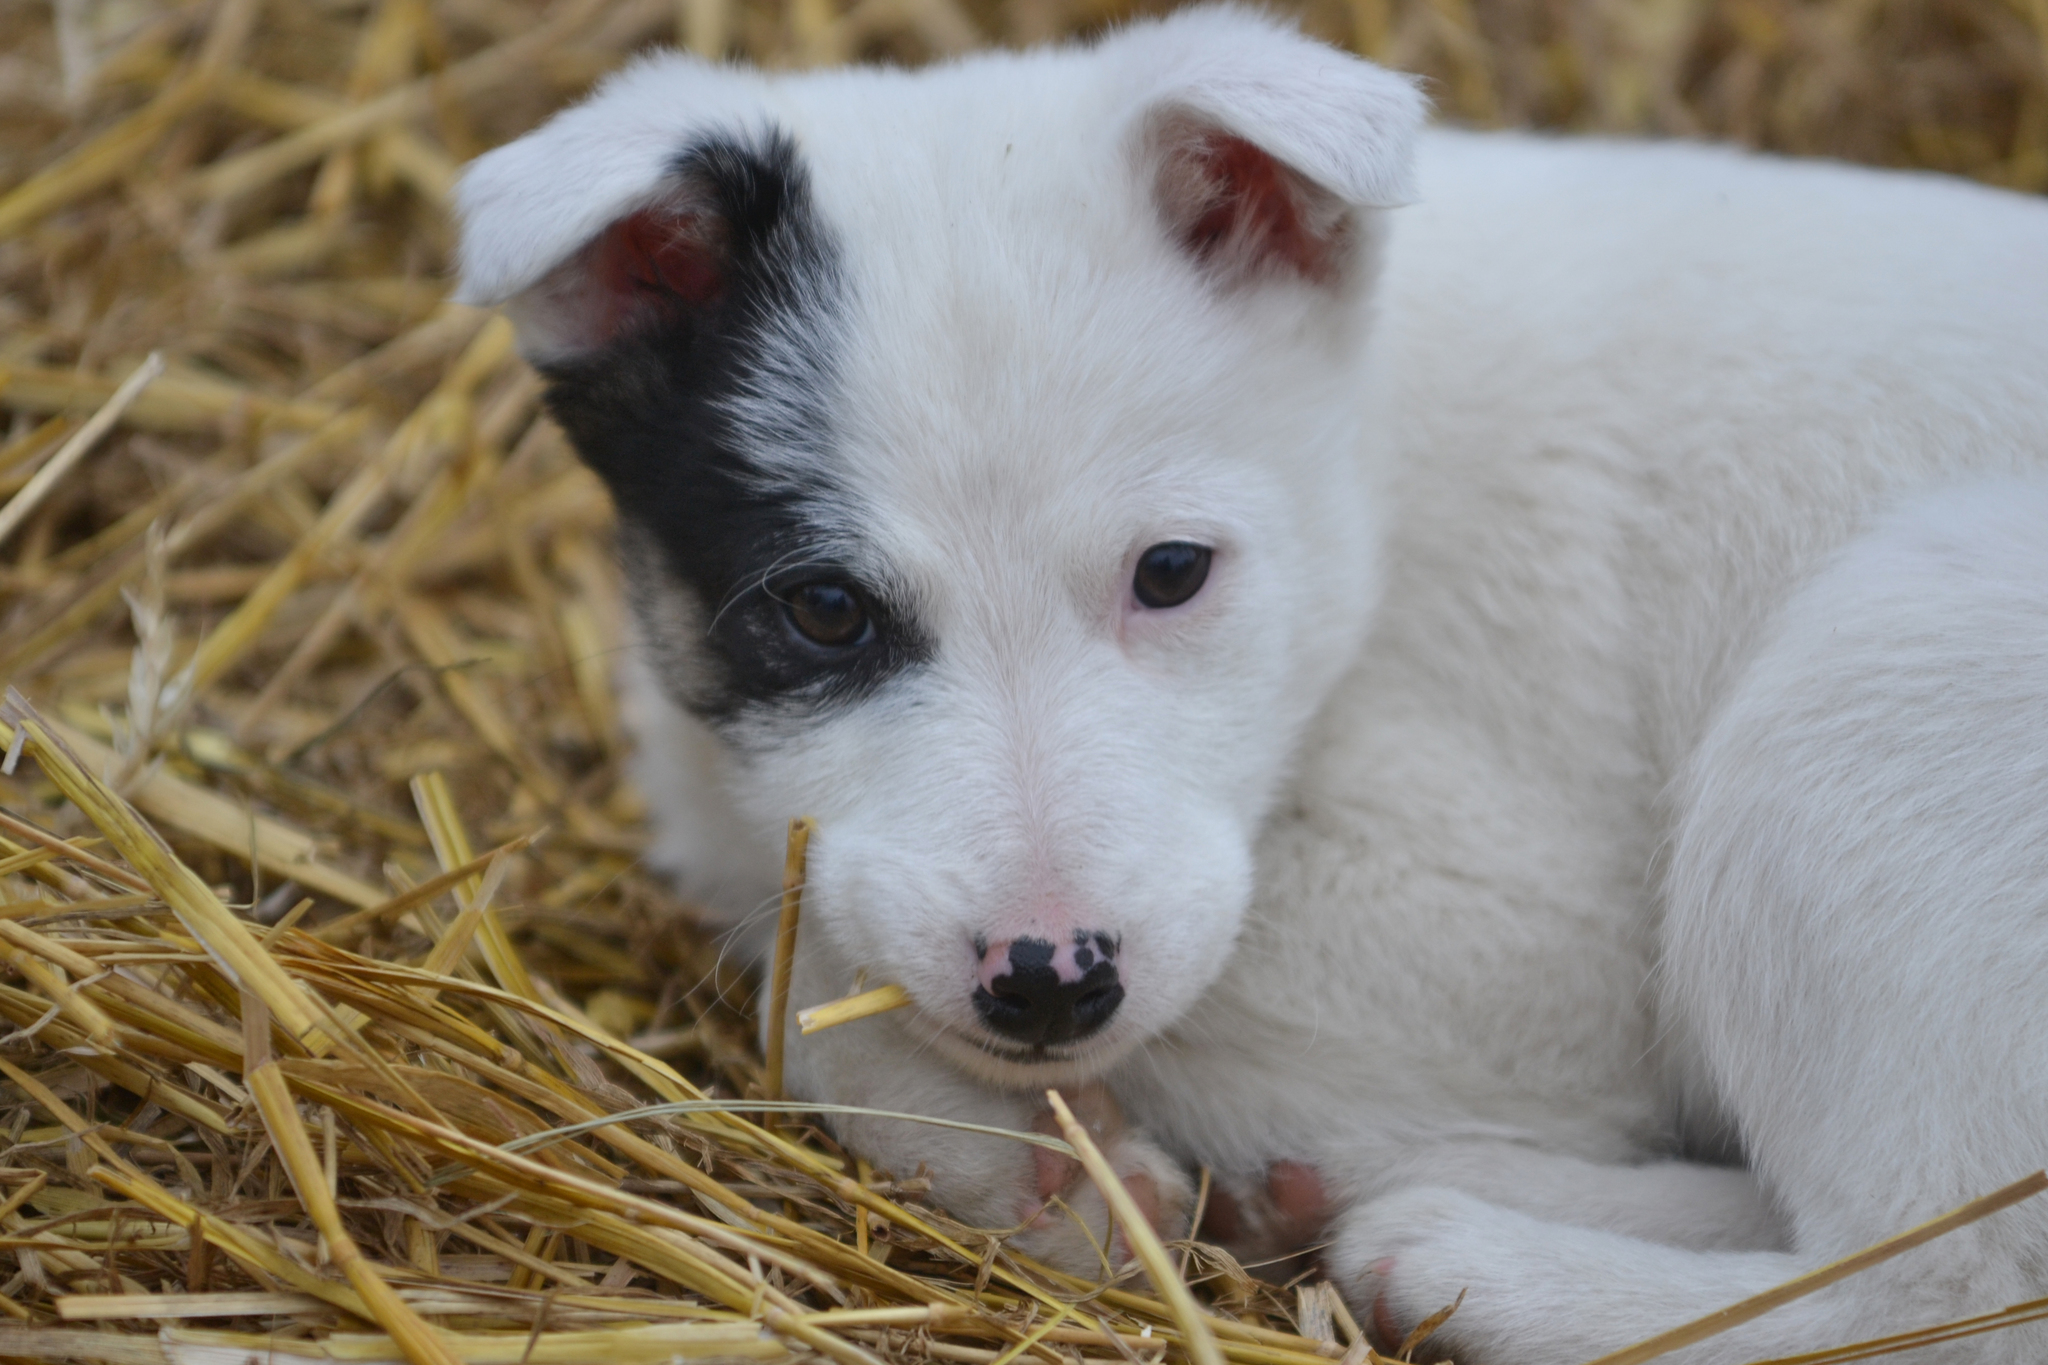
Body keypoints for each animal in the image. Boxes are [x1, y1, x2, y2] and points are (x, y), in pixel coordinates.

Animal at [456, 13, 2048, 1365]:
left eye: (1172, 572)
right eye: (824, 611)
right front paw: (1038, 1163)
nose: (1048, 984)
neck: (1370, 477)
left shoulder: (1534, 935)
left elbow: (819, 986)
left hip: (1870, 686)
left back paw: (1462, 1250)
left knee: (1943, 1279)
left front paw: (1026, 1159)